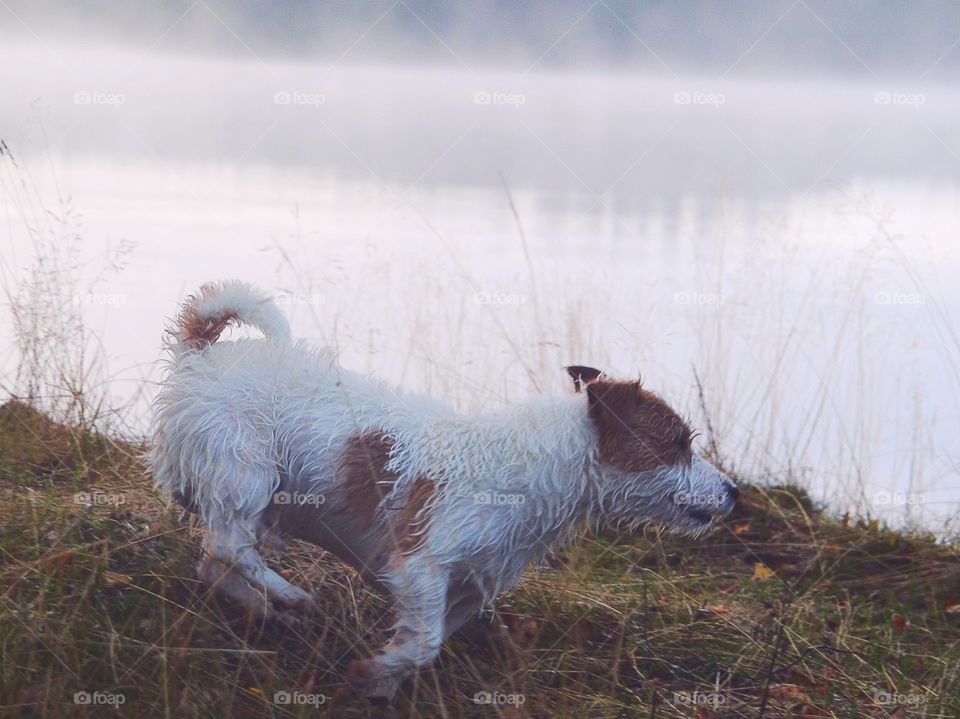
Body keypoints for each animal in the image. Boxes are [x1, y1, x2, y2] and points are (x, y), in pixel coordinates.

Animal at [146, 280, 740, 696]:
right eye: (678, 443)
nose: (734, 493)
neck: (535, 468)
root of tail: (199, 354)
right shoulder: (421, 563)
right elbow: (426, 642)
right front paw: (373, 671)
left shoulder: (469, 589)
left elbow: (424, 643)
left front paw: (381, 681)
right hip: (245, 474)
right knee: (229, 546)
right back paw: (288, 594)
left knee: (214, 562)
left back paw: (264, 609)